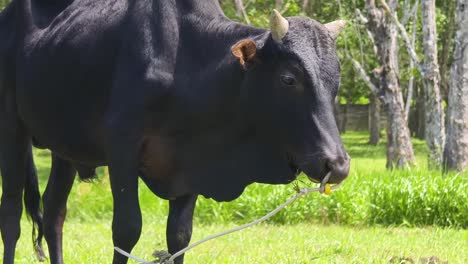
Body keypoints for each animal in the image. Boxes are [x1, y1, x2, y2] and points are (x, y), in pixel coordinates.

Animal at [0, 0, 350, 262]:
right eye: (289, 78)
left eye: (336, 80)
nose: (337, 164)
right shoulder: (122, 148)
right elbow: (126, 229)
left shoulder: (190, 164)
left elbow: (179, 236)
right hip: (12, 130)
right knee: (11, 214)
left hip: (65, 148)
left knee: (54, 212)